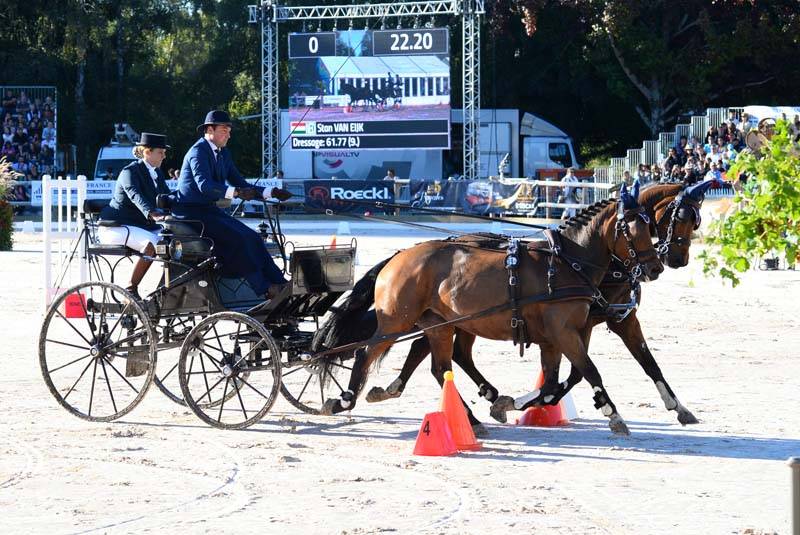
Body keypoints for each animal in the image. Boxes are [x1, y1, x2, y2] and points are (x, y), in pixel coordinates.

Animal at [361, 181, 714, 430]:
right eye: (678, 218)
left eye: (695, 222)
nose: (665, 264)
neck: (571, 261)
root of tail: (406, 252)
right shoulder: (573, 328)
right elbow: (582, 372)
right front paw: (610, 413)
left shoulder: (607, 322)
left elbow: (641, 364)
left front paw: (680, 408)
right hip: (420, 319)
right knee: (401, 352)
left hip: (450, 321)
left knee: (442, 358)